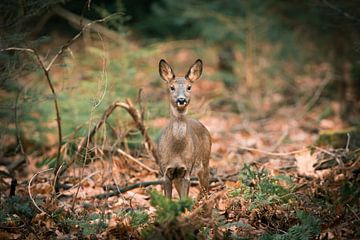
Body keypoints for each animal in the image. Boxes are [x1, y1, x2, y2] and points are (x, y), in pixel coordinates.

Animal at [157, 59, 211, 200]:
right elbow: (168, 199)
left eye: (189, 87)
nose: (181, 99)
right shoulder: (165, 170)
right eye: (172, 87)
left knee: (205, 186)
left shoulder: (187, 170)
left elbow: (183, 198)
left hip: (205, 160)